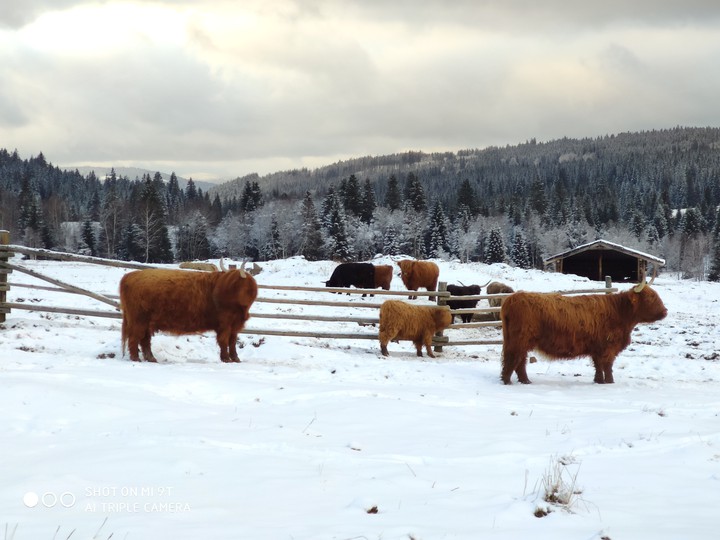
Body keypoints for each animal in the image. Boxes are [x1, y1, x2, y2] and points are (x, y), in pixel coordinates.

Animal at [119, 267, 258, 363]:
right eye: (231, 282)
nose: (216, 297)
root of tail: (130, 275)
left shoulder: (235, 325)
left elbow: (232, 342)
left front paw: (235, 358)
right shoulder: (225, 324)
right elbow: (224, 340)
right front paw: (226, 359)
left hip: (146, 322)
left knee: (145, 340)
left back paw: (151, 358)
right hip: (138, 320)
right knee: (134, 338)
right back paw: (136, 359)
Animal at [499, 281, 667, 385]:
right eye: (650, 297)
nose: (665, 311)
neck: (620, 312)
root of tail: (512, 299)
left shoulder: (597, 348)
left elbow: (598, 366)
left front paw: (599, 381)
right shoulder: (608, 347)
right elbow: (607, 365)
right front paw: (610, 382)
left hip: (518, 341)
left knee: (519, 361)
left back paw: (525, 381)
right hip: (520, 340)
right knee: (513, 359)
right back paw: (507, 381)